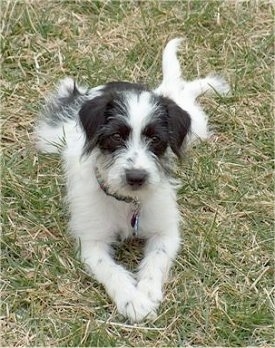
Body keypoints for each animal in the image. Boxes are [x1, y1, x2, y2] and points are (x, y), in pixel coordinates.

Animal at [34, 38, 231, 324]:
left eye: (156, 139)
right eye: (116, 136)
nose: (136, 177)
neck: (128, 202)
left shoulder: (166, 232)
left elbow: (156, 261)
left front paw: (148, 291)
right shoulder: (92, 243)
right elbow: (111, 270)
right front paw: (133, 300)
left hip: (198, 128)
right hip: (52, 134)